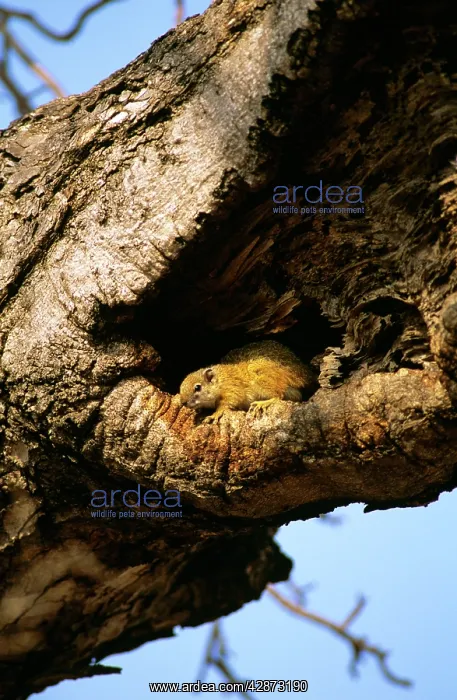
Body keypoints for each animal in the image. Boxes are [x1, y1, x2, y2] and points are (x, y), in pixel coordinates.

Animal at [179, 340, 317, 423]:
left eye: (197, 387)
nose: (183, 403)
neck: (219, 381)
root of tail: (302, 375)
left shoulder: (232, 388)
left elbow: (227, 402)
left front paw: (215, 414)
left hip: (263, 379)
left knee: (278, 395)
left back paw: (263, 403)